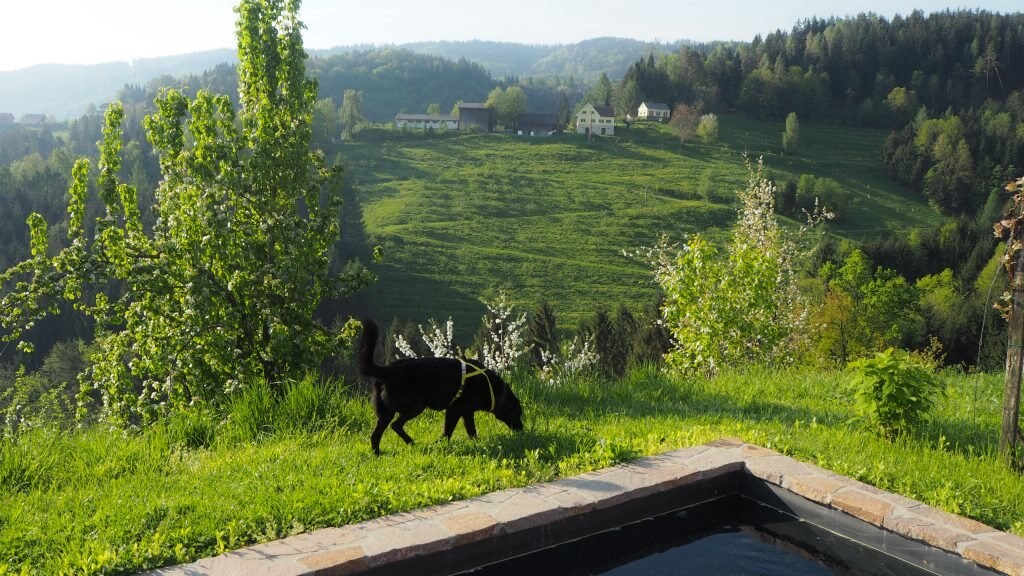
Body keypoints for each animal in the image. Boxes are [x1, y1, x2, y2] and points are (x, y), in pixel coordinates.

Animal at [358, 317, 520, 453]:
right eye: (518, 413)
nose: (521, 429)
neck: (493, 389)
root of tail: (388, 371)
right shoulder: (454, 410)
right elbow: (448, 432)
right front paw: (439, 444)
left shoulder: (466, 412)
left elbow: (472, 431)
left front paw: (476, 443)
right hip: (416, 406)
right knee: (395, 425)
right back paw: (411, 443)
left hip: (386, 413)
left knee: (376, 435)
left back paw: (378, 454)